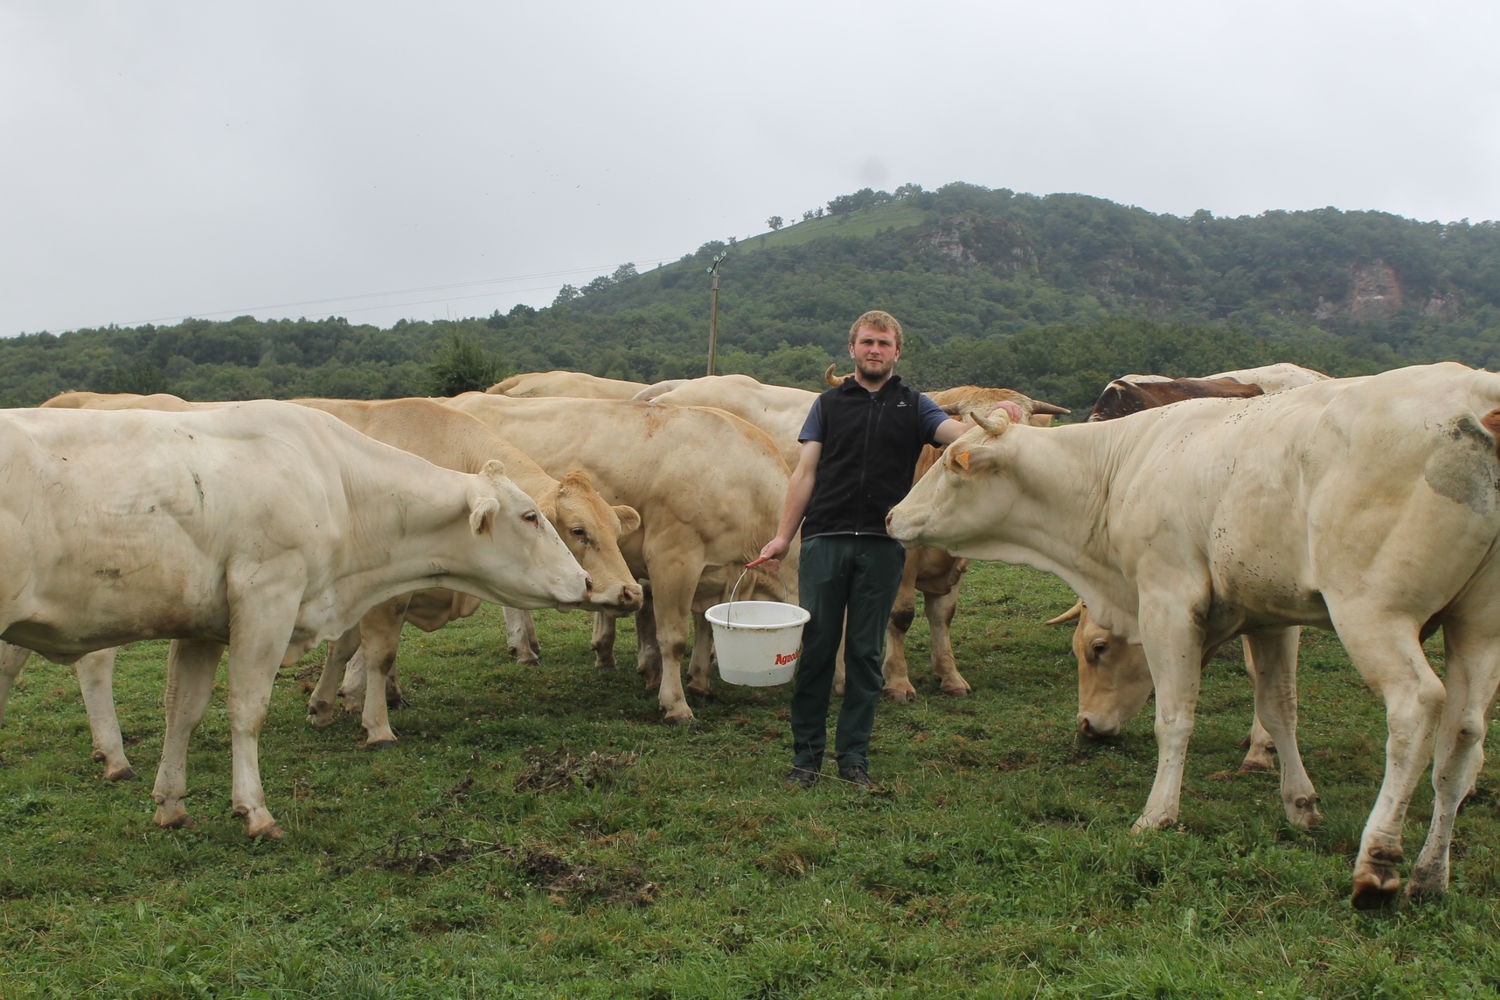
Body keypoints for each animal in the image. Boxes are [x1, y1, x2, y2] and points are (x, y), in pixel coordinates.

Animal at [0, 398, 591, 839]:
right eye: (530, 516)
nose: (585, 581)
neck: (338, 485)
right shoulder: (267, 597)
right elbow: (247, 709)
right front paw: (254, 810)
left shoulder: (201, 626)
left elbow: (183, 711)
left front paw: (170, 803)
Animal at [882, 361, 1500, 905]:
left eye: (953, 462)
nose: (890, 517)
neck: (1120, 467)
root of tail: (1478, 394)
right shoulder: (1271, 618)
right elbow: (1280, 707)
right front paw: (1298, 803)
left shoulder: (1167, 601)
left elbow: (1174, 718)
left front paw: (1157, 815)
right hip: (1477, 626)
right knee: (1462, 733)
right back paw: (1430, 873)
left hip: (1371, 614)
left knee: (1417, 707)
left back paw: (1378, 862)